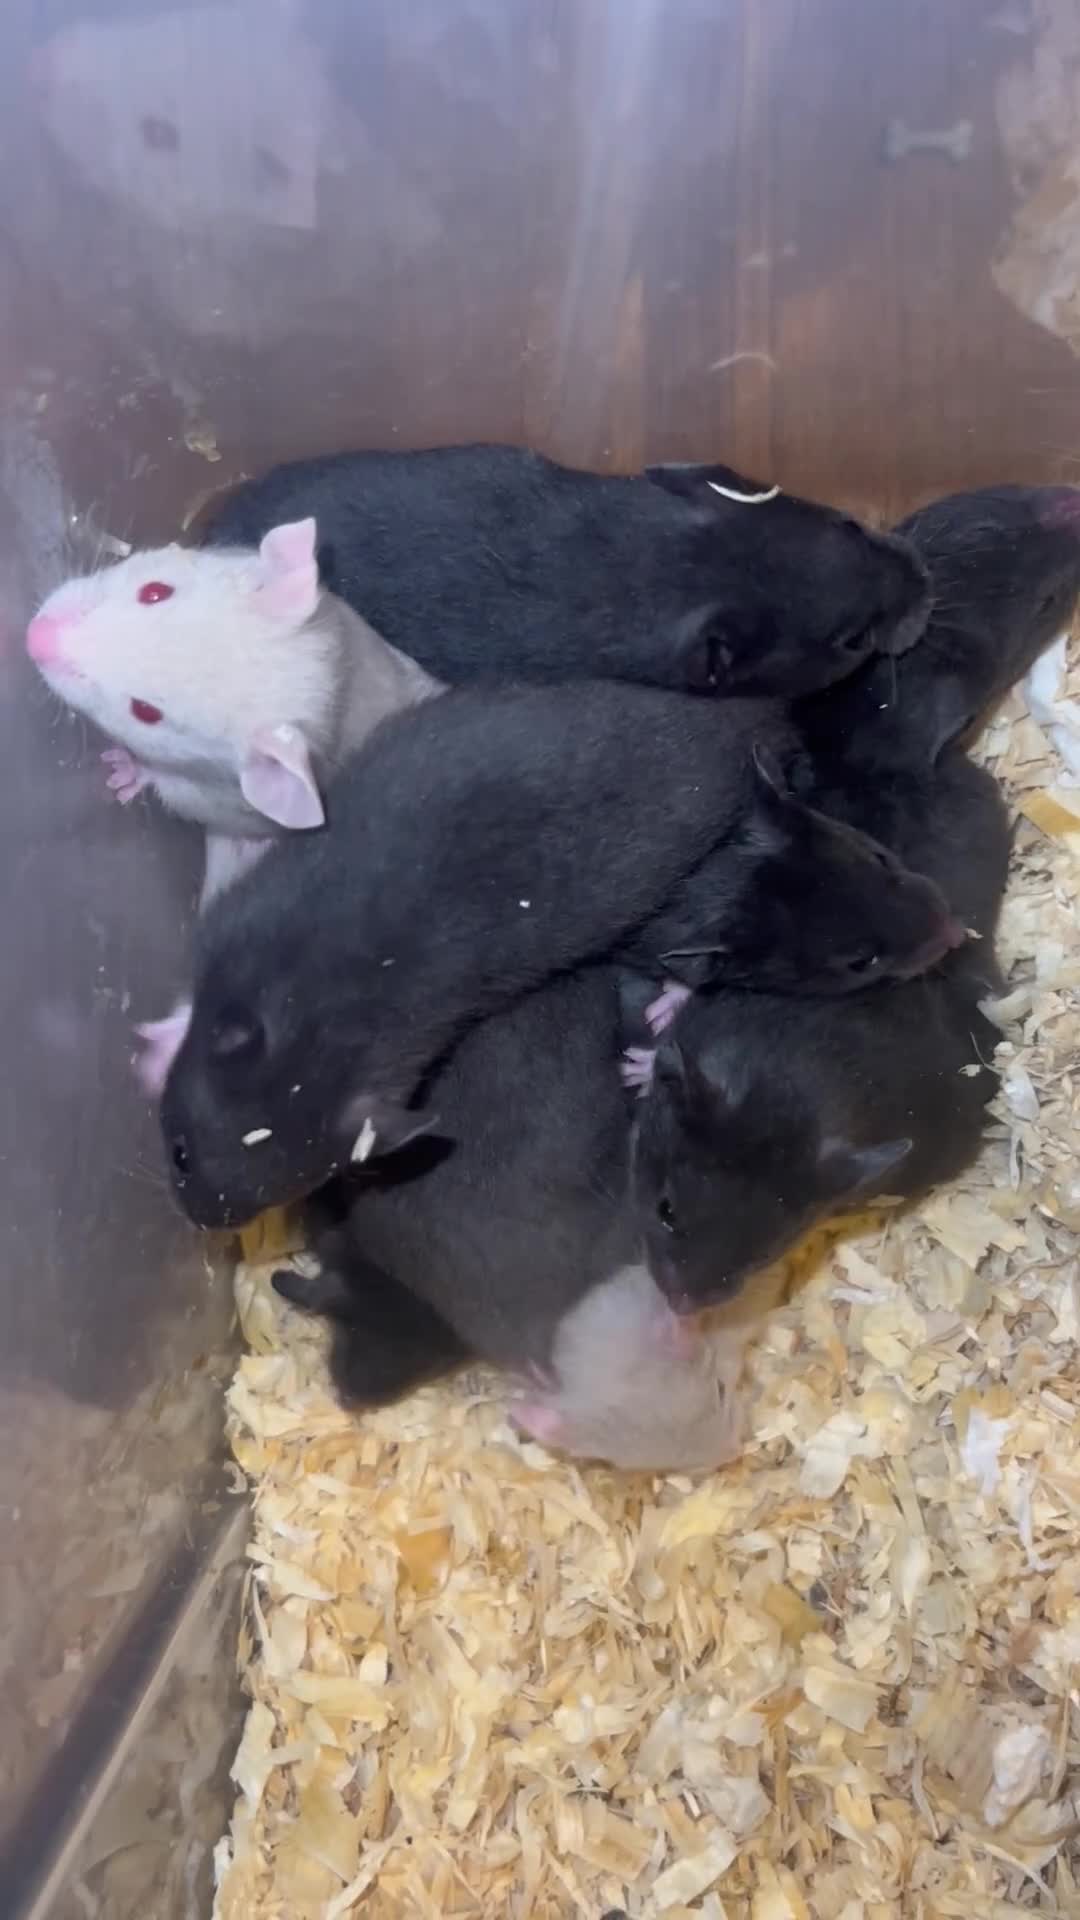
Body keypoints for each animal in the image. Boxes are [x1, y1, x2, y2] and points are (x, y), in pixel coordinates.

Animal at [25, 518, 440, 903]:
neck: (331, 686)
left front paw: (126, 769)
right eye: (155, 592)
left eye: (145, 712)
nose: (36, 637)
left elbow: (172, 787)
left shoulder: (216, 795)